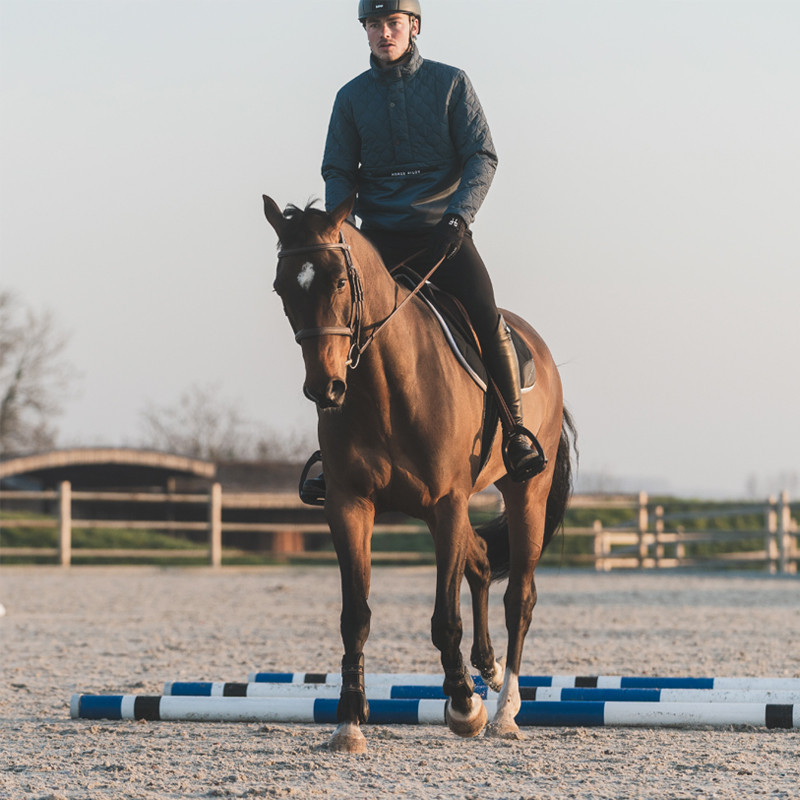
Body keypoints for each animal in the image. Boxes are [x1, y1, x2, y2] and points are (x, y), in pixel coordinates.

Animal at [263, 193, 575, 753]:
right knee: (480, 563)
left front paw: (464, 706)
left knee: (519, 596)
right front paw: (349, 720)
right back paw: (489, 669)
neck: (385, 385)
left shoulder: (446, 505)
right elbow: (355, 616)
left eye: (338, 281)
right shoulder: (349, 505)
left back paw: (504, 710)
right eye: (282, 287)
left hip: (526, 494)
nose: (326, 387)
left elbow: (444, 618)